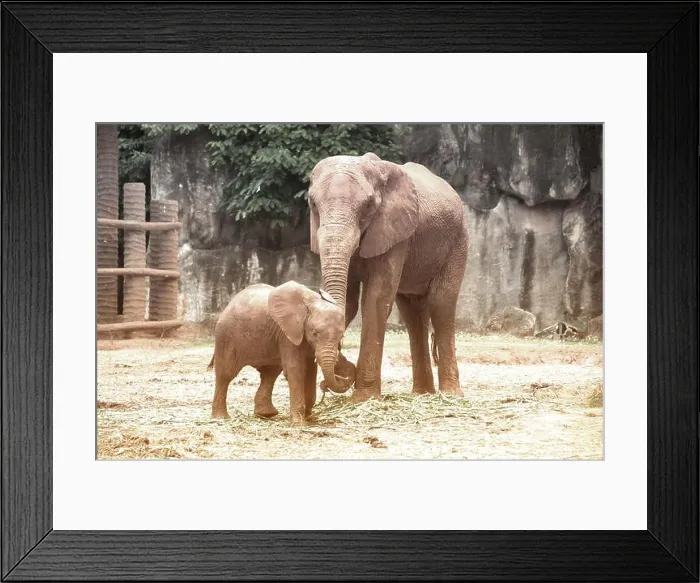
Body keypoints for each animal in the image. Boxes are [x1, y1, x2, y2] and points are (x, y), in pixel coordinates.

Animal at [207, 281, 355, 426]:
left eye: (341, 335)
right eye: (314, 333)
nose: (325, 386)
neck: (309, 303)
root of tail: (229, 304)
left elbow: (310, 372)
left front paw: (309, 419)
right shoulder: (287, 334)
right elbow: (296, 370)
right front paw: (299, 424)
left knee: (269, 374)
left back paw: (266, 414)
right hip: (226, 335)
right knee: (225, 374)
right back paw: (221, 418)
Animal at [308, 152, 468, 402]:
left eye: (367, 206)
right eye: (312, 203)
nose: (326, 385)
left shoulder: (395, 232)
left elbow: (376, 298)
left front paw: (364, 398)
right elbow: (349, 302)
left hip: (457, 241)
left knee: (440, 304)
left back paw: (450, 395)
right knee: (413, 313)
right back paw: (422, 393)